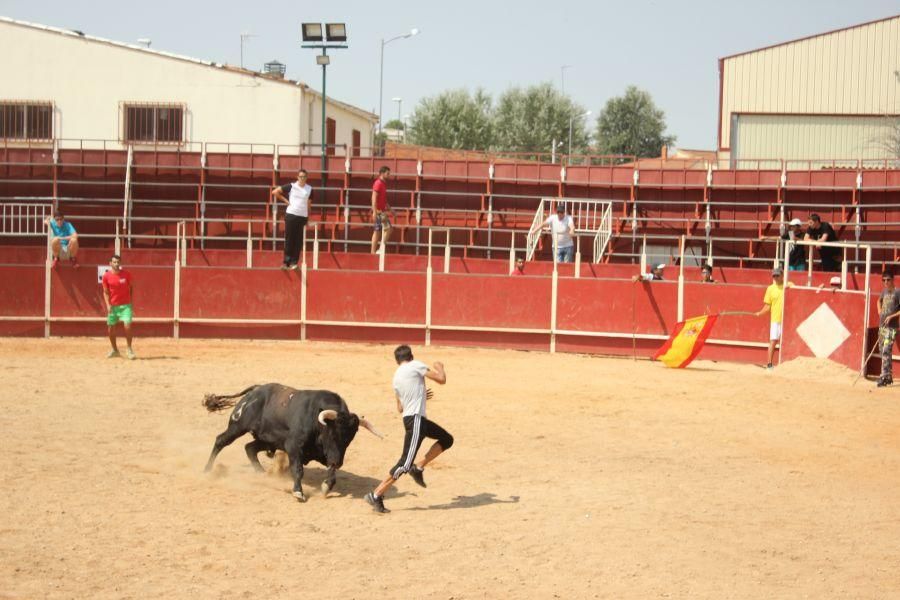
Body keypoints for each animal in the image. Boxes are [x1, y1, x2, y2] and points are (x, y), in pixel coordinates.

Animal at [202, 384, 382, 502]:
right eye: (333, 433)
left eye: (350, 438)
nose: (338, 462)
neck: (316, 422)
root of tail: (255, 392)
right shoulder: (294, 447)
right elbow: (298, 470)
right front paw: (298, 492)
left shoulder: (323, 454)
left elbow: (331, 473)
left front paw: (325, 487)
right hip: (238, 426)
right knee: (221, 441)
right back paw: (207, 470)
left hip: (268, 440)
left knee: (249, 448)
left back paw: (262, 474)